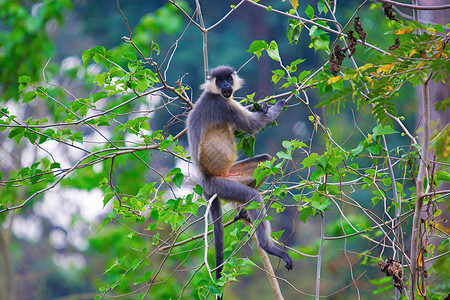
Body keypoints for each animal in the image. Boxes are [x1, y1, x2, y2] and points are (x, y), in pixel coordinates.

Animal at [185, 65, 292, 284]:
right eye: (219, 81)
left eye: (228, 79)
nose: (226, 85)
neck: (213, 93)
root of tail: (206, 182)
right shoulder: (222, 104)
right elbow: (251, 126)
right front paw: (278, 105)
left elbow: (239, 131)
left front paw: (259, 106)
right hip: (221, 185)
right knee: (252, 196)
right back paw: (267, 246)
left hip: (232, 176)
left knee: (265, 160)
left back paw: (243, 212)